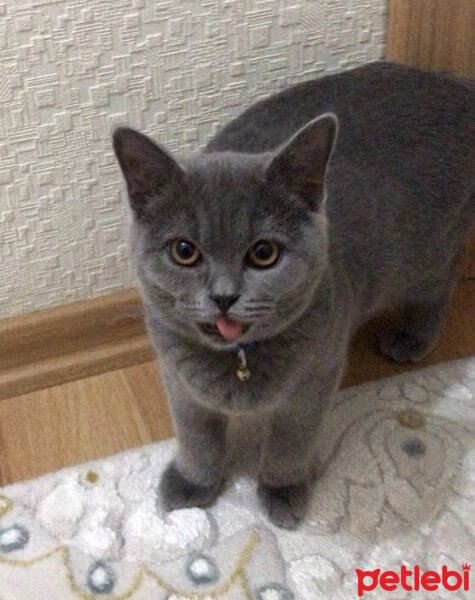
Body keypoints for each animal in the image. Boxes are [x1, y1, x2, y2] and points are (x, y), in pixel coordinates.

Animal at [113, 61, 474, 528]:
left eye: (264, 253)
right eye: (184, 251)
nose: (224, 296)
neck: (238, 363)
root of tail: (454, 82)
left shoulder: (316, 378)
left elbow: (291, 439)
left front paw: (282, 491)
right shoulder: (178, 377)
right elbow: (196, 434)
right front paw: (192, 484)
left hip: (428, 249)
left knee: (441, 281)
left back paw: (410, 338)